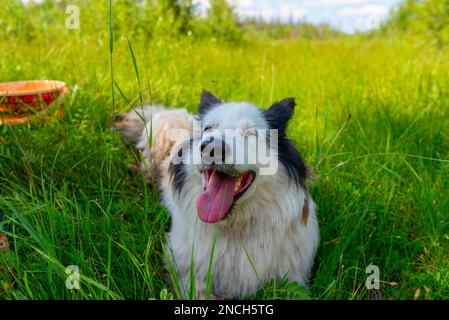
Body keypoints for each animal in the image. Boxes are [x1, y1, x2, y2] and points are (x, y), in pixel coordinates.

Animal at [115, 89, 318, 298]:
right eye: (208, 129)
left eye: (251, 134)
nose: (212, 148)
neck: (233, 228)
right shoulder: (185, 272)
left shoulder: (292, 276)